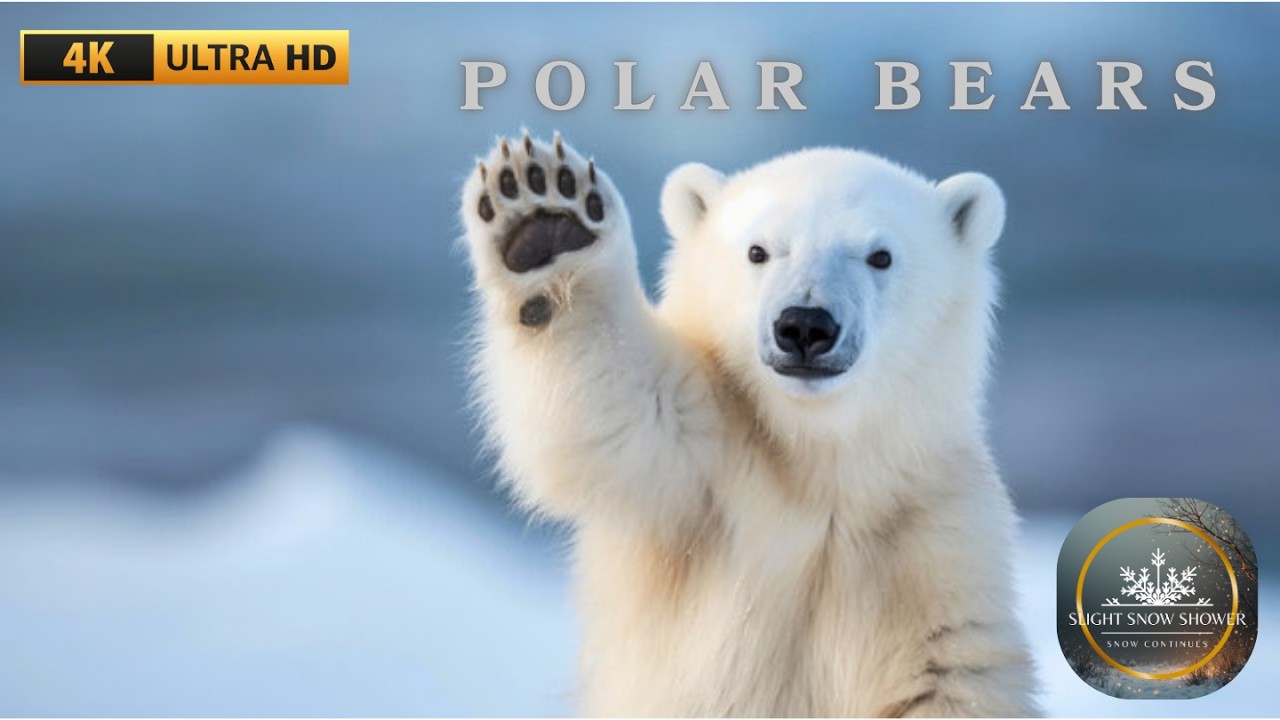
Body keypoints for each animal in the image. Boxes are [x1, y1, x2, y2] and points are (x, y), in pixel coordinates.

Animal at [458, 132, 1038, 717]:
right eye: (758, 251)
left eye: (881, 256)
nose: (805, 325)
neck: (820, 462)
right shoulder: (707, 477)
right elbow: (614, 408)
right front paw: (544, 221)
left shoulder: (937, 543)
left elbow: (949, 674)